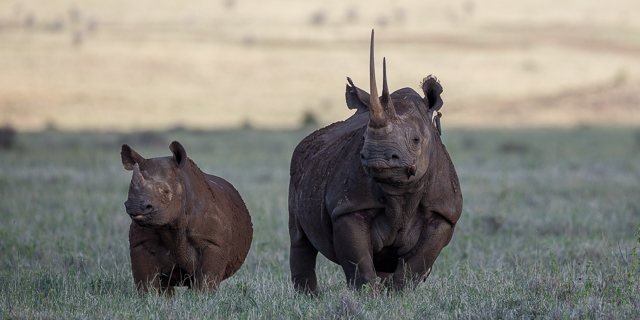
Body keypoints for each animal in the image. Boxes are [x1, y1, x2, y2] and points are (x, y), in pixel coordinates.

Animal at [120, 141, 252, 294]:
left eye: (166, 192)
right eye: (129, 189)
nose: (136, 206)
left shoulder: (212, 243)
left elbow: (207, 279)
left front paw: (202, 297)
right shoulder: (141, 244)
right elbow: (146, 281)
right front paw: (149, 297)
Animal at [288, 31, 462, 294]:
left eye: (416, 140)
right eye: (363, 138)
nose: (377, 156)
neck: (400, 193)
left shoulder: (442, 213)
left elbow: (418, 263)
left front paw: (399, 295)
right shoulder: (348, 206)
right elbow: (358, 260)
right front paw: (368, 296)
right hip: (297, 169)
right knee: (299, 238)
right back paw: (308, 297)